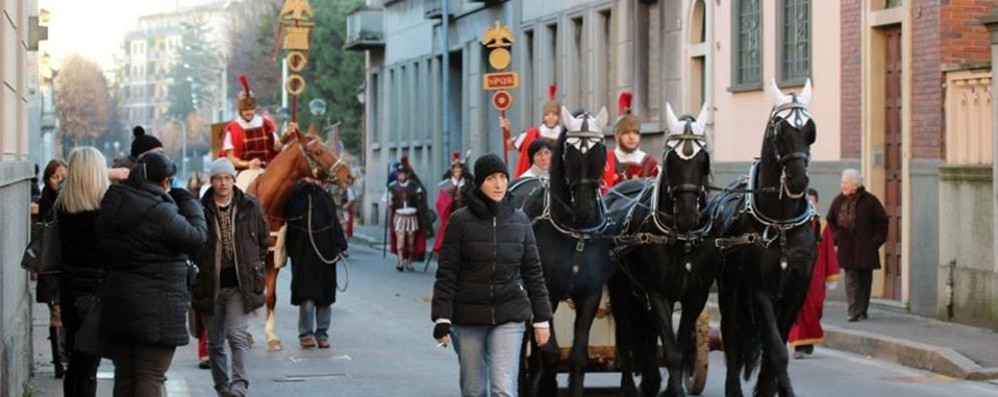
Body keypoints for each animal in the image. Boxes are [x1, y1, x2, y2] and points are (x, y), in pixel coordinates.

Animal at [244, 124, 354, 350]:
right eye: (318, 151)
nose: (349, 176)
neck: (267, 204)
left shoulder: (273, 258)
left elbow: (271, 296)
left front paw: (272, 337)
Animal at [508, 106, 616, 394]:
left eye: (601, 149)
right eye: (569, 150)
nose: (584, 208)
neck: (574, 232)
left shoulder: (589, 294)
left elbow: (577, 356)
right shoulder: (546, 294)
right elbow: (551, 353)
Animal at [608, 103, 720, 396]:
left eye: (703, 159)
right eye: (671, 160)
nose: (687, 214)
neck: (681, 238)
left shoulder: (696, 295)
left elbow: (679, 344)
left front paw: (670, 387)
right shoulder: (658, 294)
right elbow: (671, 350)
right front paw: (672, 389)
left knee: (645, 334)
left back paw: (650, 381)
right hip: (620, 289)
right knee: (626, 335)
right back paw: (630, 386)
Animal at [712, 79, 820, 396]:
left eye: (810, 131)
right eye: (780, 130)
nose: (798, 180)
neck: (781, 225)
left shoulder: (797, 290)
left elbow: (777, 349)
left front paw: (773, 389)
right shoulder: (759, 289)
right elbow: (776, 348)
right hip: (730, 288)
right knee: (731, 333)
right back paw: (733, 388)